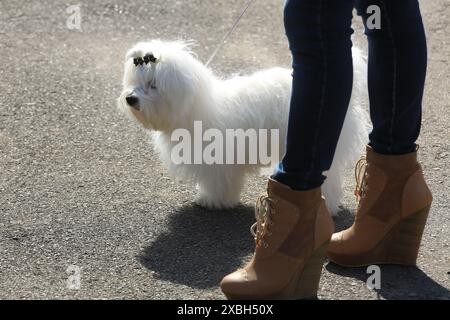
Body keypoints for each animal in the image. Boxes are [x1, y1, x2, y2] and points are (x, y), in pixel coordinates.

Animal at [118, 40, 370, 215]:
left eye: (153, 85)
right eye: (135, 82)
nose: (130, 99)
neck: (196, 106)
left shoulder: (216, 160)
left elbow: (217, 182)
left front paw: (211, 200)